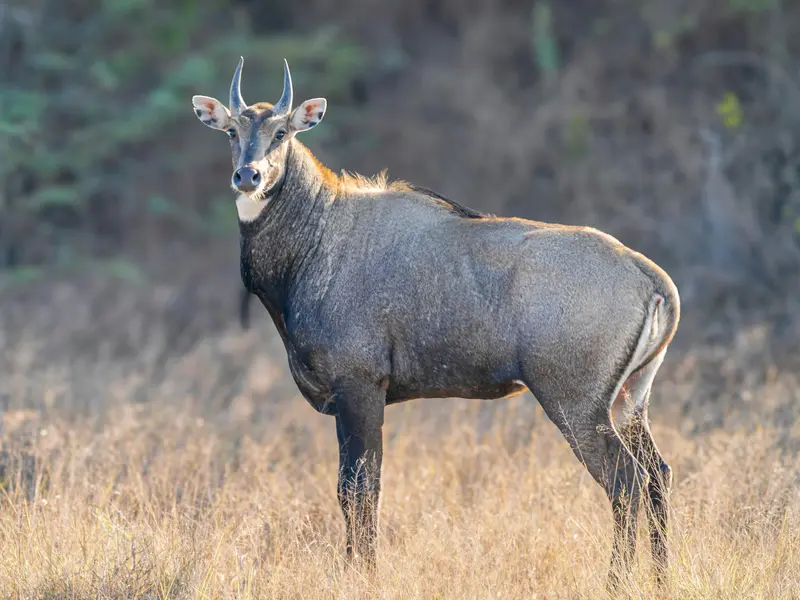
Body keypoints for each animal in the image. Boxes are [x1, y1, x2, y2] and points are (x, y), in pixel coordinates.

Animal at [191, 58, 680, 587]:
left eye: (281, 132)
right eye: (232, 132)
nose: (248, 175)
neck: (316, 241)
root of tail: (651, 279)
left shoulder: (360, 386)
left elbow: (359, 490)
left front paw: (364, 575)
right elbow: (353, 489)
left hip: (575, 401)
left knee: (626, 482)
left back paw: (617, 581)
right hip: (630, 400)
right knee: (657, 476)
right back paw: (661, 579)